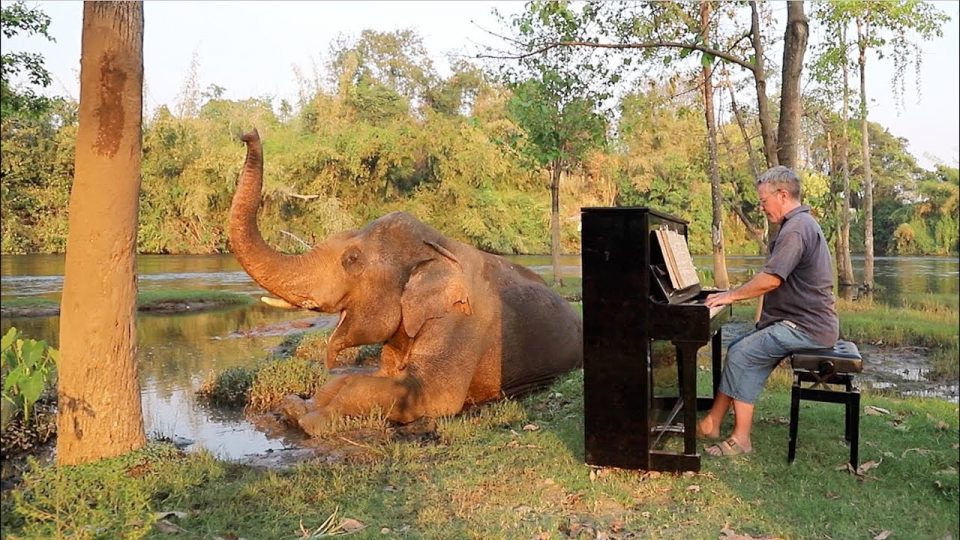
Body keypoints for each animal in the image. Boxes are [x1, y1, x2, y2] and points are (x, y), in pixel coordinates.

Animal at [229, 129, 580, 436]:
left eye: (351, 259)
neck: (439, 246)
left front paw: (309, 421)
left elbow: (428, 394)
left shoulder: (461, 322)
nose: (248, 133)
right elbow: (366, 378)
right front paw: (294, 407)